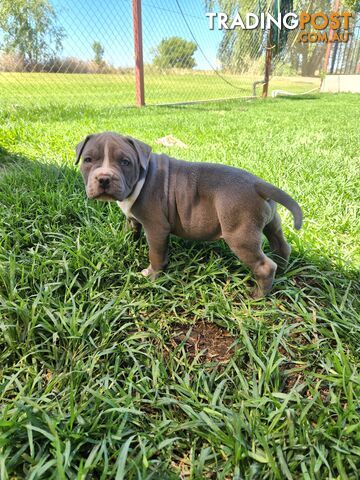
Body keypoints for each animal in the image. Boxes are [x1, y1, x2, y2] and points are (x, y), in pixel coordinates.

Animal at [76, 131, 304, 296]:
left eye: (125, 162)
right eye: (88, 160)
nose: (104, 178)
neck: (141, 176)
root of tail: (259, 184)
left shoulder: (157, 228)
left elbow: (156, 254)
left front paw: (153, 276)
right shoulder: (133, 218)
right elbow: (130, 229)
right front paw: (123, 243)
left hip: (240, 235)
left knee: (264, 266)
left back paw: (257, 295)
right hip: (272, 222)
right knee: (281, 245)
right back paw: (282, 271)